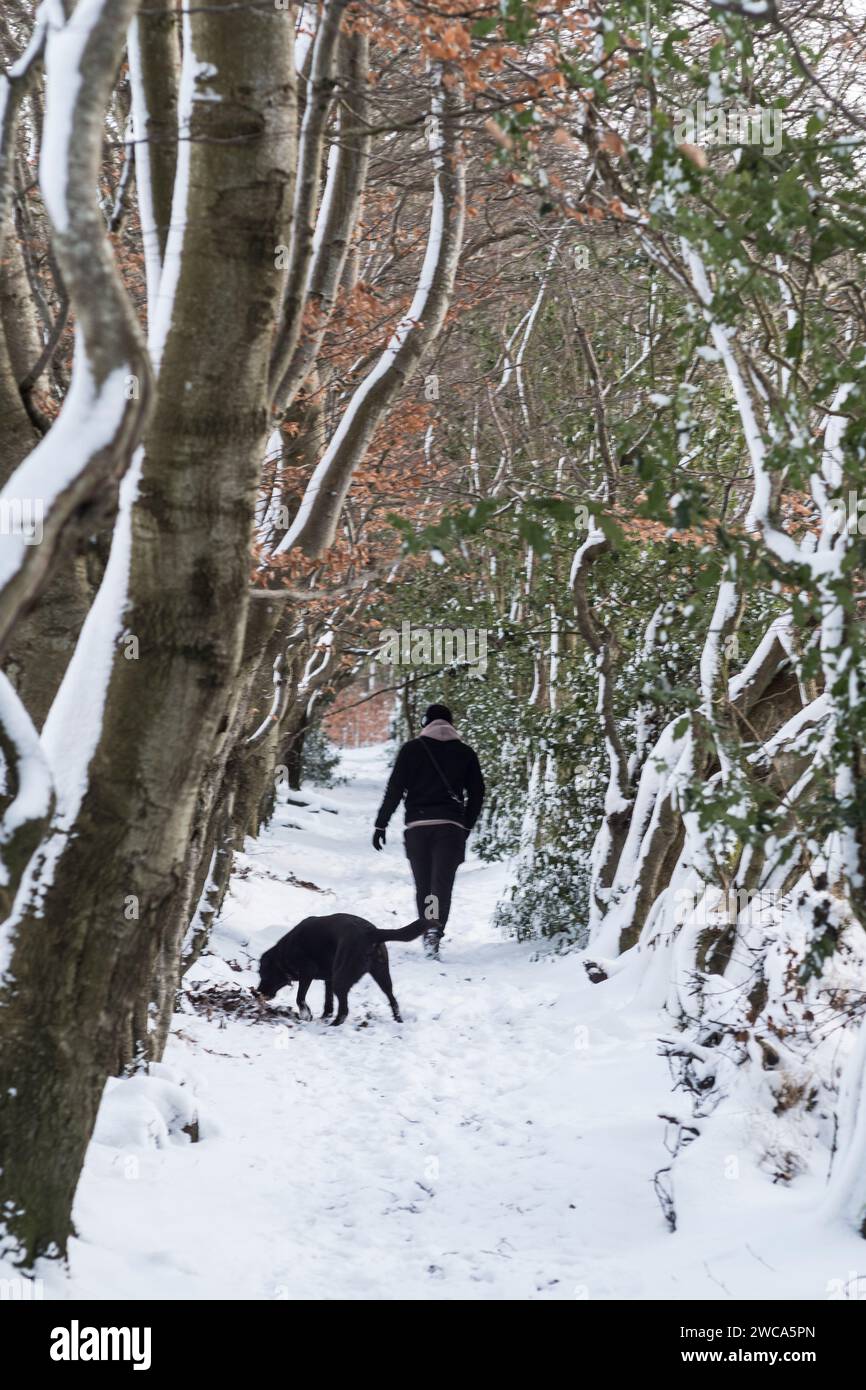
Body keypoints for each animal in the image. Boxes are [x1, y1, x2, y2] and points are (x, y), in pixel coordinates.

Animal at [257, 911, 433, 1023]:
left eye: (263, 974)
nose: (258, 991)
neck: (283, 953)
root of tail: (372, 932)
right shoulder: (328, 978)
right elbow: (328, 1002)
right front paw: (324, 1016)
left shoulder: (308, 972)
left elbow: (300, 997)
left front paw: (307, 1015)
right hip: (381, 974)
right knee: (393, 999)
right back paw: (398, 1020)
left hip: (341, 979)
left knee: (344, 1010)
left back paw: (334, 1024)